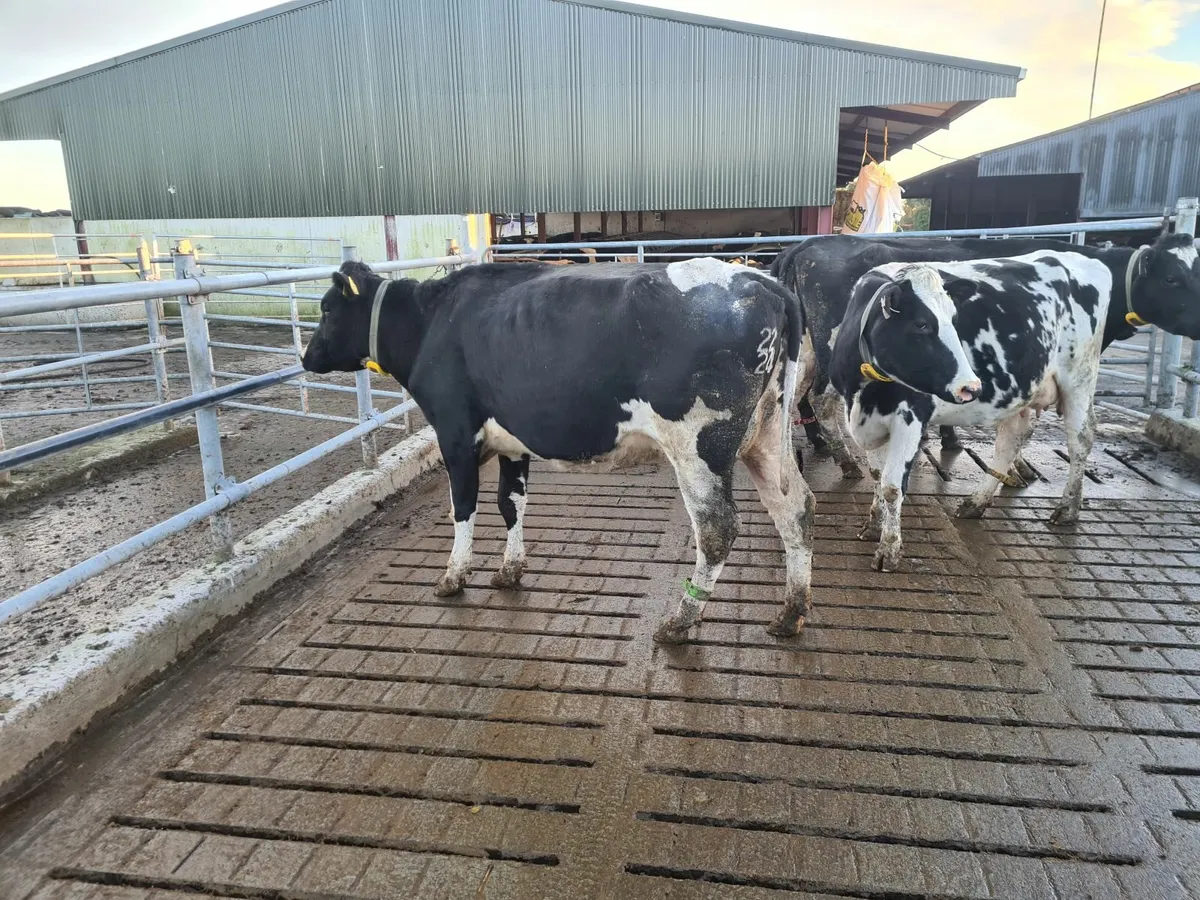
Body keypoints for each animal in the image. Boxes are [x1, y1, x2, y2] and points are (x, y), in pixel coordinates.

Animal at [302, 257, 816, 644]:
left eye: (326, 309)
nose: (306, 357)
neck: (430, 321)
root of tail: (759, 281)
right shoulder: (512, 444)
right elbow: (510, 503)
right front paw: (509, 571)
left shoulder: (455, 433)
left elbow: (463, 508)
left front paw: (453, 576)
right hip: (765, 434)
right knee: (796, 507)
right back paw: (790, 613)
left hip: (699, 445)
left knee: (717, 528)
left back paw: (680, 621)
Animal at [831, 230, 1200, 572]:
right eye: (922, 324)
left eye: (954, 321)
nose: (970, 387)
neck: (866, 392)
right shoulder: (865, 419)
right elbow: (877, 475)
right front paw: (874, 523)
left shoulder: (910, 416)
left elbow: (893, 485)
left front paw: (889, 548)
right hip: (1025, 390)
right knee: (1012, 438)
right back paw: (977, 502)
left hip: (1079, 377)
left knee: (1081, 438)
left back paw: (1067, 508)